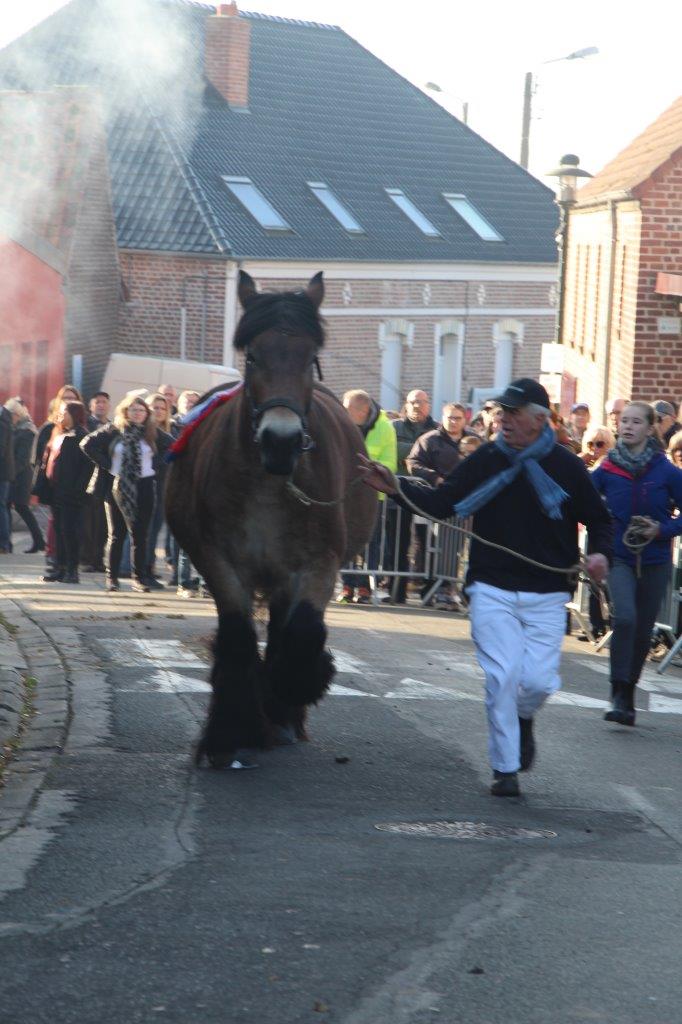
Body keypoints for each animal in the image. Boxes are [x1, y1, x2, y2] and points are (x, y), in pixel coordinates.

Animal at [164, 272, 376, 770]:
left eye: (310, 358)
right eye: (253, 356)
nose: (281, 440)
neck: (268, 483)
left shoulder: (318, 564)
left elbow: (301, 631)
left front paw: (290, 689)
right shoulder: (219, 561)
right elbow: (238, 637)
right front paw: (229, 733)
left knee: (284, 626)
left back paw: (281, 714)